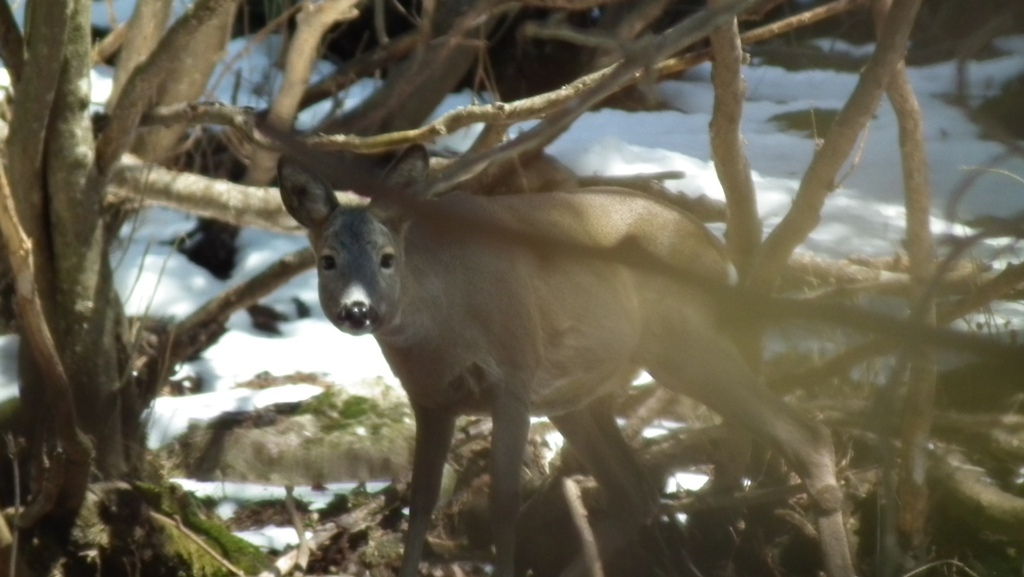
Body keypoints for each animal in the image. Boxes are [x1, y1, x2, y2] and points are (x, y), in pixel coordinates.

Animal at [278, 145, 856, 577]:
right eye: (326, 260)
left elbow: (505, 502)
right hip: (578, 395)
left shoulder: (513, 375)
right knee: (635, 492)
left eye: (386, 258)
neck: (442, 325)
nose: (358, 310)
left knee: (805, 433)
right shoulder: (430, 399)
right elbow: (419, 504)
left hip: (682, 344)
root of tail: (719, 253)